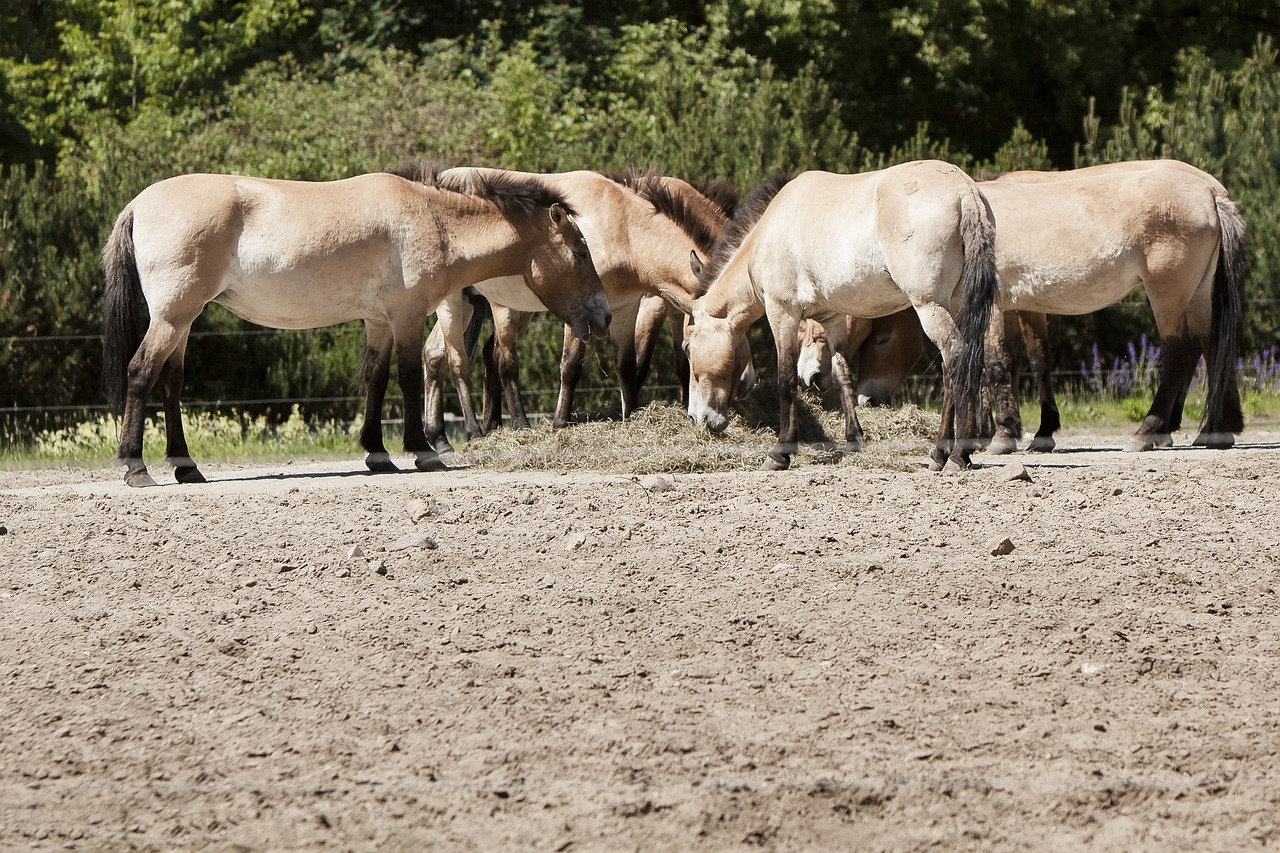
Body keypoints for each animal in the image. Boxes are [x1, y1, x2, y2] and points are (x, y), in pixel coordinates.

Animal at [99, 163, 609, 484]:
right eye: (579, 251)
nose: (603, 315)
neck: (433, 220)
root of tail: (138, 204)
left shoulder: (378, 321)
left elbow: (376, 381)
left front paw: (377, 453)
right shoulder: (406, 315)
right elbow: (407, 378)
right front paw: (423, 451)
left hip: (183, 321)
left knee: (171, 381)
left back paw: (186, 466)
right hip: (173, 316)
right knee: (141, 373)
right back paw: (135, 467)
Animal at [419, 169, 747, 448]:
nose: (744, 383)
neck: (623, 226)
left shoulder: (625, 308)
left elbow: (627, 365)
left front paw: (632, 416)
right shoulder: (584, 311)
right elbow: (571, 364)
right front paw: (560, 422)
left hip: (475, 306)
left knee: (437, 353)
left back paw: (443, 436)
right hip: (474, 305)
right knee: (482, 360)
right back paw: (496, 428)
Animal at [660, 161, 998, 471]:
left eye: (687, 347)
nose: (698, 417)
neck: (768, 233)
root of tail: (964, 191)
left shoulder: (782, 312)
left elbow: (785, 379)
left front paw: (781, 451)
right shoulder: (833, 319)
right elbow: (842, 374)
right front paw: (853, 440)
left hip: (929, 306)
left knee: (956, 358)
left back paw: (954, 453)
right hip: (955, 305)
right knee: (961, 364)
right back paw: (949, 451)